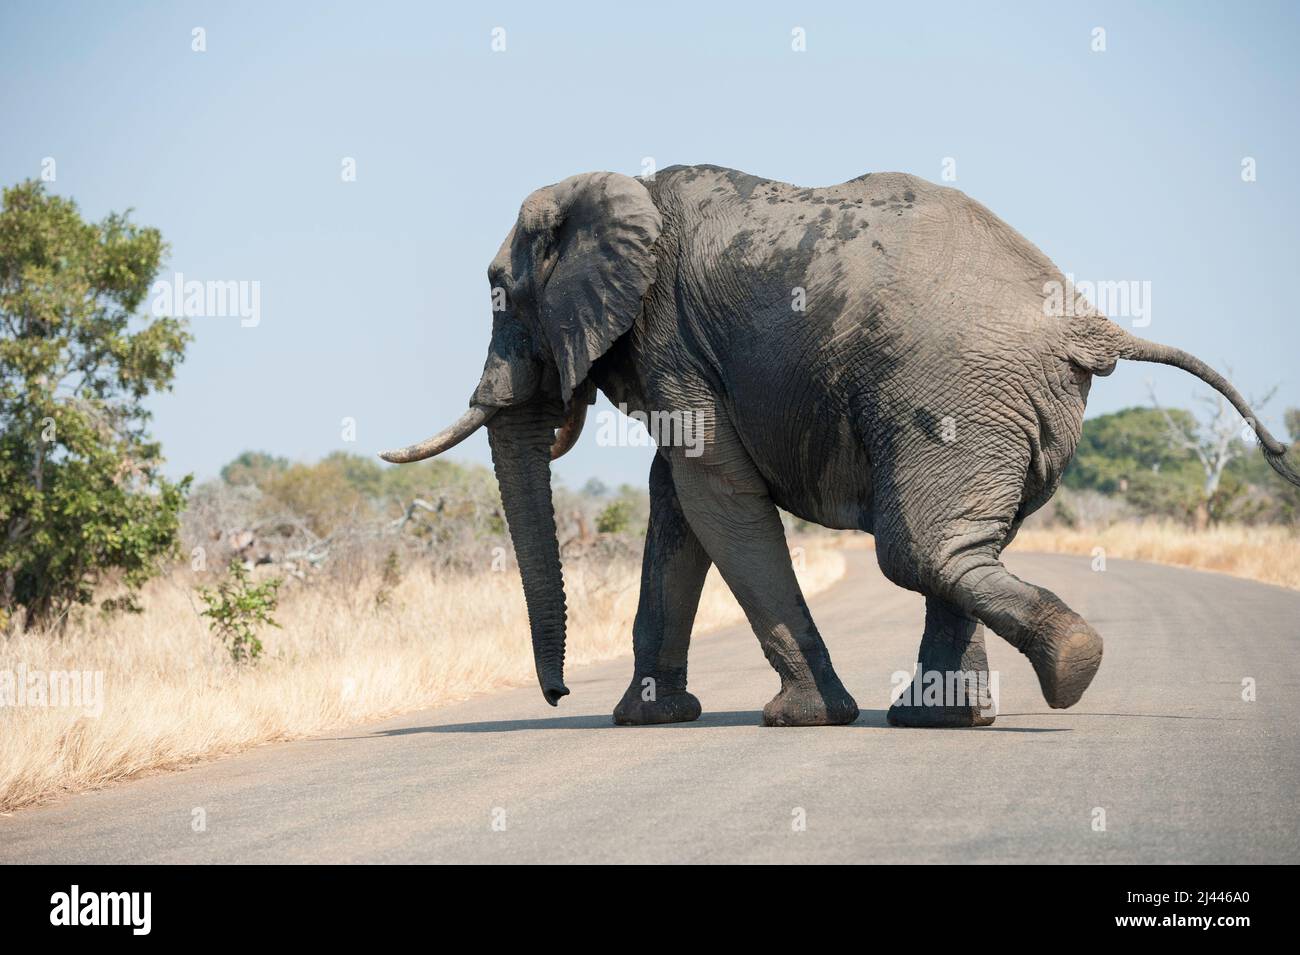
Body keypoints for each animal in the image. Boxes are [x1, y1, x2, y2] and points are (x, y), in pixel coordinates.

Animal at [379, 166, 1300, 732]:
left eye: (499, 293)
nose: (558, 691)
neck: (617, 187)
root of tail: (1087, 319)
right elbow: (678, 501)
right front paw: (650, 718)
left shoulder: (669, 330)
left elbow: (712, 493)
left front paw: (800, 720)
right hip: (1009, 406)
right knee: (958, 547)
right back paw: (948, 715)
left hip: (954, 390)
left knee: (919, 548)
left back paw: (1065, 670)